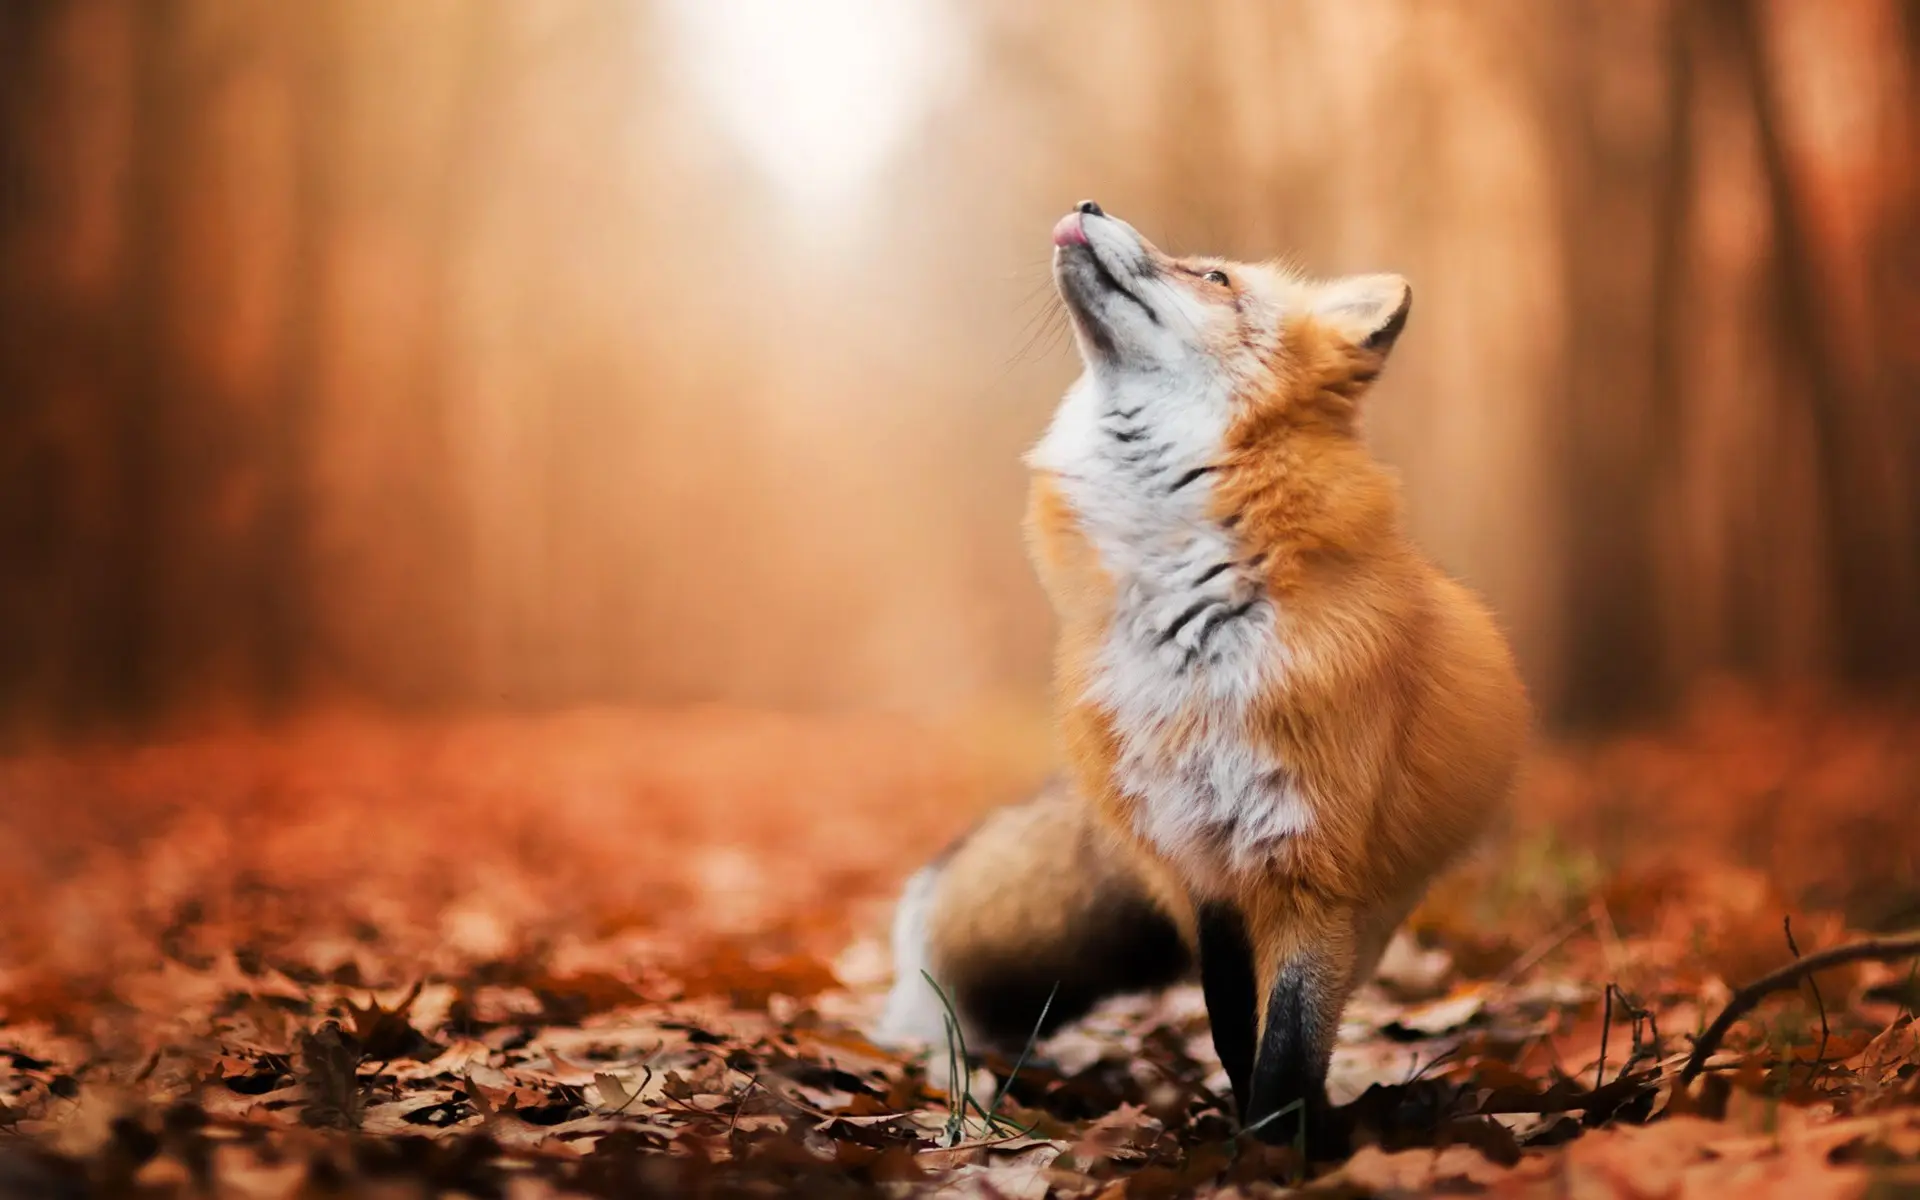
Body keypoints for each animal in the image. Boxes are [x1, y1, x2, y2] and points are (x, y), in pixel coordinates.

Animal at [879, 201, 1530, 1155]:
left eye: (1214, 277)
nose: (1088, 205)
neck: (1190, 634)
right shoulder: (1201, 867)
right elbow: (1233, 1030)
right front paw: (1251, 1141)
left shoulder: (1310, 867)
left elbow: (1287, 1047)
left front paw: (1275, 1155)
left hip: (1375, 903)